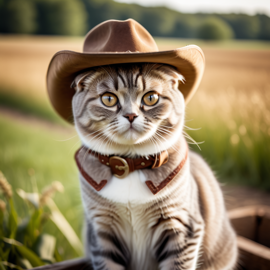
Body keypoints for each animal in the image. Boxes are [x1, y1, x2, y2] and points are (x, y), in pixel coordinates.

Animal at [70, 62, 237, 270]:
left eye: (151, 98)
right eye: (108, 99)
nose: (131, 115)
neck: (131, 164)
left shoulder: (182, 226)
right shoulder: (101, 229)